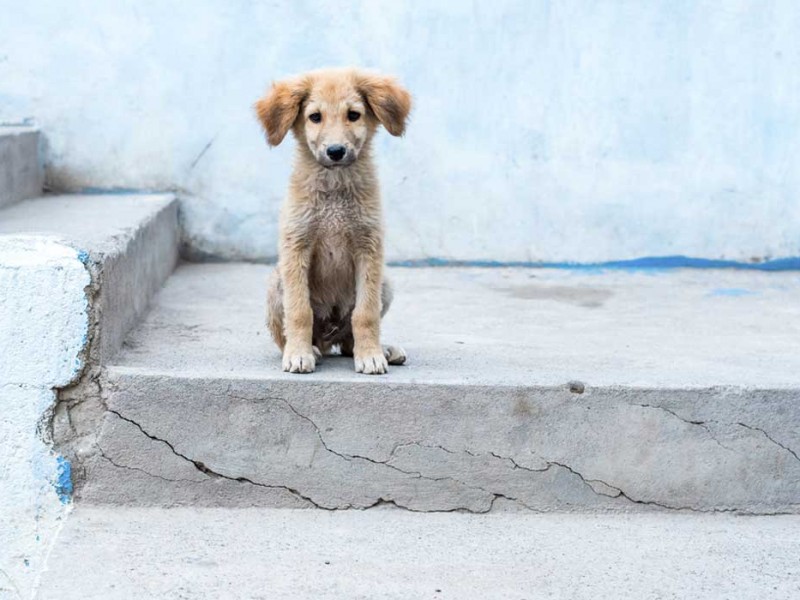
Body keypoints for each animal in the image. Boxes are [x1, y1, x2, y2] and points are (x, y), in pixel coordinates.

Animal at [255, 69, 412, 376]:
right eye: (315, 117)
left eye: (353, 115)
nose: (336, 151)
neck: (335, 191)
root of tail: (330, 337)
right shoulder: (296, 246)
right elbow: (299, 311)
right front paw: (299, 355)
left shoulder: (369, 248)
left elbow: (365, 314)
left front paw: (371, 356)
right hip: (275, 284)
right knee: (290, 336)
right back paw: (310, 349)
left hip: (385, 284)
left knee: (349, 340)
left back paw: (382, 350)